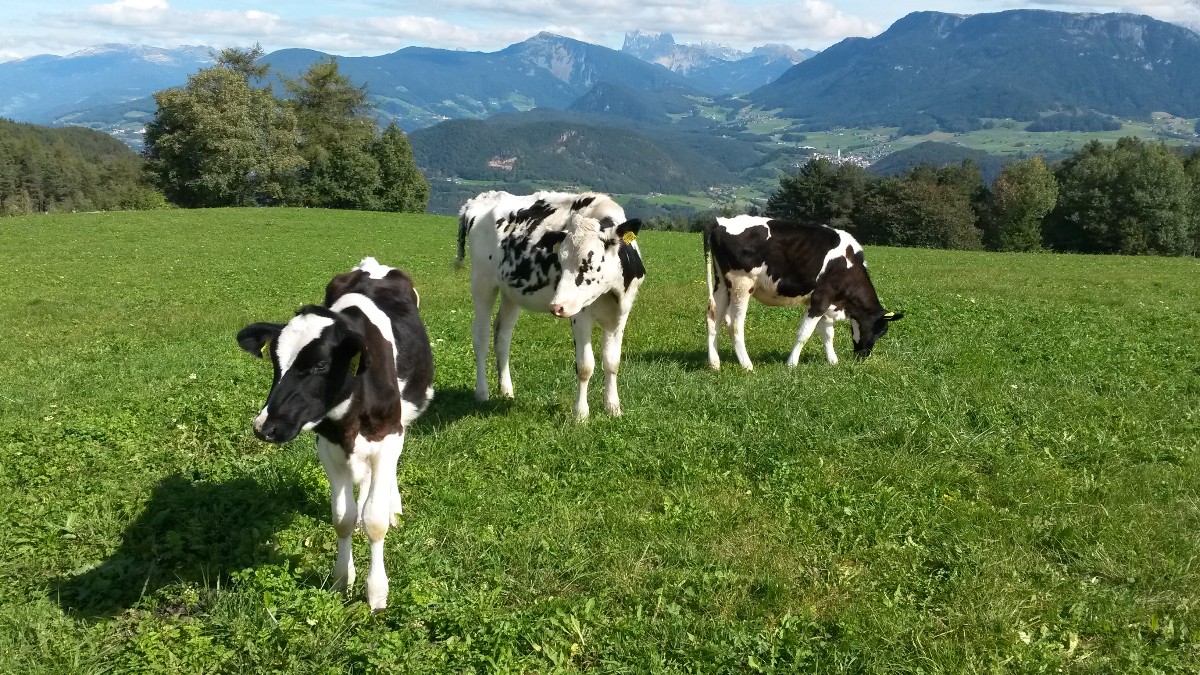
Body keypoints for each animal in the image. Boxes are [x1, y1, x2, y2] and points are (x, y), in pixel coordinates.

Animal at [236, 257, 433, 611]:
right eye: (274, 361)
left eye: (320, 365)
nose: (265, 427)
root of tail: (373, 265)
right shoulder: (327, 447)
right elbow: (342, 517)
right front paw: (343, 580)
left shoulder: (388, 437)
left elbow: (374, 520)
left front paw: (376, 593)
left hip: (400, 423)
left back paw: (392, 505)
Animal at [456, 190, 645, 420]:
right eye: (560, 262)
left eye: (588, 264)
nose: (556, 306)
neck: (611, 293)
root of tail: (481, 198)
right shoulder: (579, 314)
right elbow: (585, 366)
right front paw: (580, 414)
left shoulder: (620, 314)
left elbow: (612, 362)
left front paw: (613, 408)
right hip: (482, 283)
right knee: (481, 337)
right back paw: (482, 392)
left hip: (510, 292)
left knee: (502, 336)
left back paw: (506, 391)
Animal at [703, 215, 903, 371]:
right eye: (879, 331)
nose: (863, 356)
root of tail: (720, 221)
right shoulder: (820, 300)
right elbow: (804, 334)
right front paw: (791, 364)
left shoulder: (827, 304)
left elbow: (828, 334)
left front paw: (833, 361)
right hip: (742, 284)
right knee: (734, 322)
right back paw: (747, 365)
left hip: (722, 284)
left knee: (713, 317)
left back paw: (714, 364)